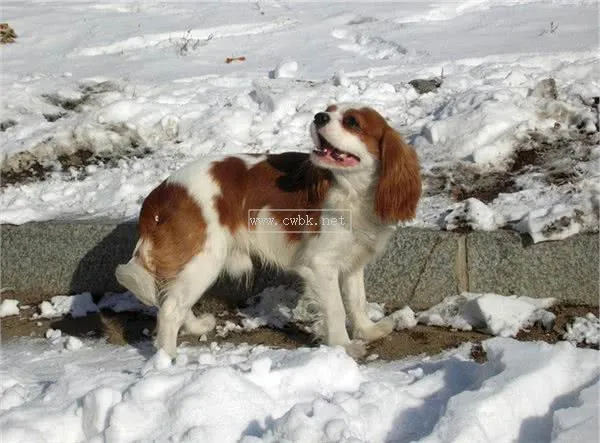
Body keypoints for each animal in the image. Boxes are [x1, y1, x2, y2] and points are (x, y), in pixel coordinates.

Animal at [113, 105, 422, 360]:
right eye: (330, 110)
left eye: (352, 122)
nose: (319, 116)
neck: (351, 191)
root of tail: (162, 190)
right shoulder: (320, 264)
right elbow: (336, 309)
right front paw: (343, 347)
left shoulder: (352, 260)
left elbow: (357, 299)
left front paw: (368, 331)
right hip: (205, 257)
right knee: (169, 309)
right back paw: (166, 362)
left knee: (172, 298)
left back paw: (195, 326)